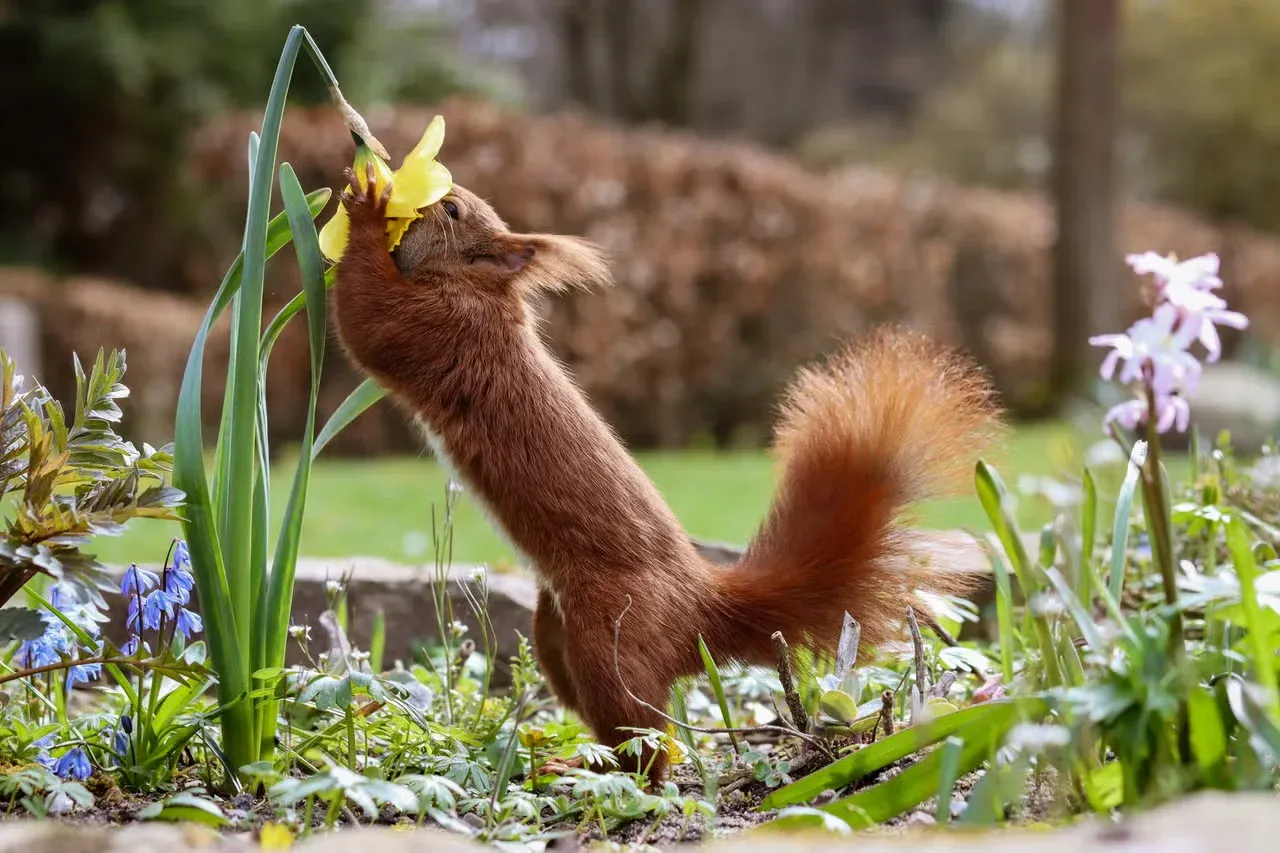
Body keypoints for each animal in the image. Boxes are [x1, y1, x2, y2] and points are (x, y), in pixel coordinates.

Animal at [330, 164, 1003, 783]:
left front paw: (364, 205)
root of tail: (699, 609)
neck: (479, 287)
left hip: (610, 638)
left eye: (450, 210)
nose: (415, 190)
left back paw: (607, 781)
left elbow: (369, 321)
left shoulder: (436, 328)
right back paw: (577, 765)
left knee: (647, 743)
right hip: (555, 636)